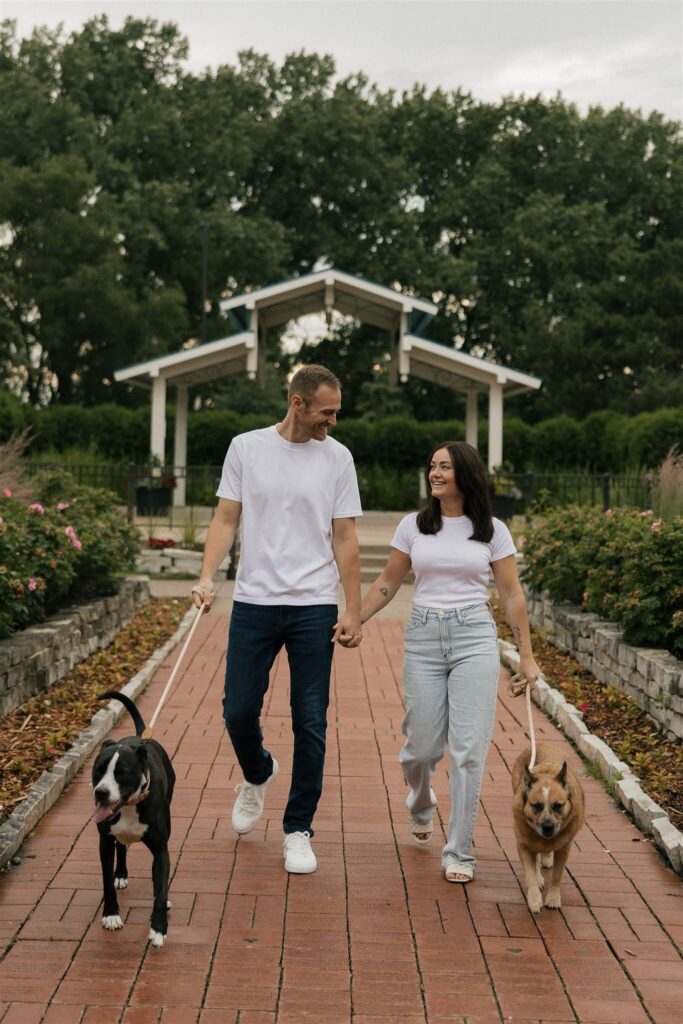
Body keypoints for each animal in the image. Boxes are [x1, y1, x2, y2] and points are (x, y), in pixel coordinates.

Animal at [91, 692, 175, 946]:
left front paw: (158, 928)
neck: (130, 806)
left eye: (122, 773)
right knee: (122, 847)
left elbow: (160, 884)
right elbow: (106, 880)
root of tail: (141, 737)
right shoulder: (105, 842)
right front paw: (110, 914)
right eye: (98, 770)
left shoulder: (161, 849)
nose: (101, 792)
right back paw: (121, 874)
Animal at [509, 745, 585, 913]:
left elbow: (557, 875)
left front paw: (553, 898)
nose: (548, 828)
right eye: (536, 806)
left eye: (558, 806)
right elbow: (530, 874)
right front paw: (534, 899)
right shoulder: (523, 845)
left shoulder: (564, 848)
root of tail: (542, 744)